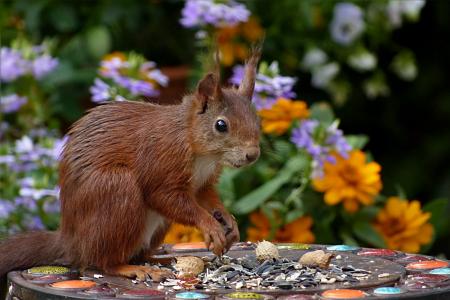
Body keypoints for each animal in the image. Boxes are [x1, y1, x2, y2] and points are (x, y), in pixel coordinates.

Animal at [0, 48, 262, 282]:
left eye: (256, 119)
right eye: (221, 125)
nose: (252, 155)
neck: (202, 152)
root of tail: (72, 241)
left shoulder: (203, 182)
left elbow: (206, 197)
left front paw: (227, 220)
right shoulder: (161, 160)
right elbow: (166, 197)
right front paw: (210, 225)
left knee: (137, 254)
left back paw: (162, 260)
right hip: (116, 190)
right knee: (103, 262)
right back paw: (133, 269)